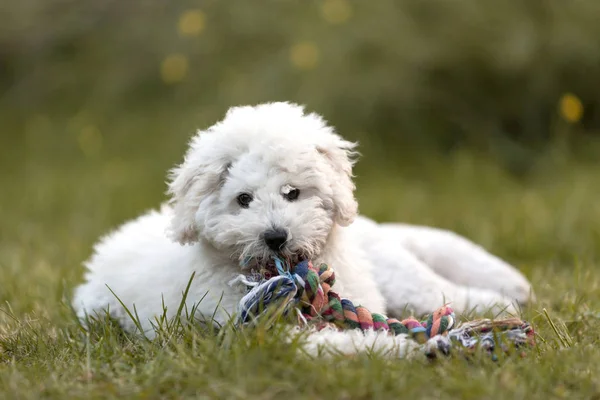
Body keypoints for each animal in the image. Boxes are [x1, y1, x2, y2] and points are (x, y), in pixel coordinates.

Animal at [72, 102, 532, 356]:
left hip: (394, 269)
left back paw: (498, 305)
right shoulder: (264, 328)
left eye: (292, 192)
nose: (276, 237)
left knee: (436, 291)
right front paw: (400, 349)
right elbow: (339, 341)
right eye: (243, 200)